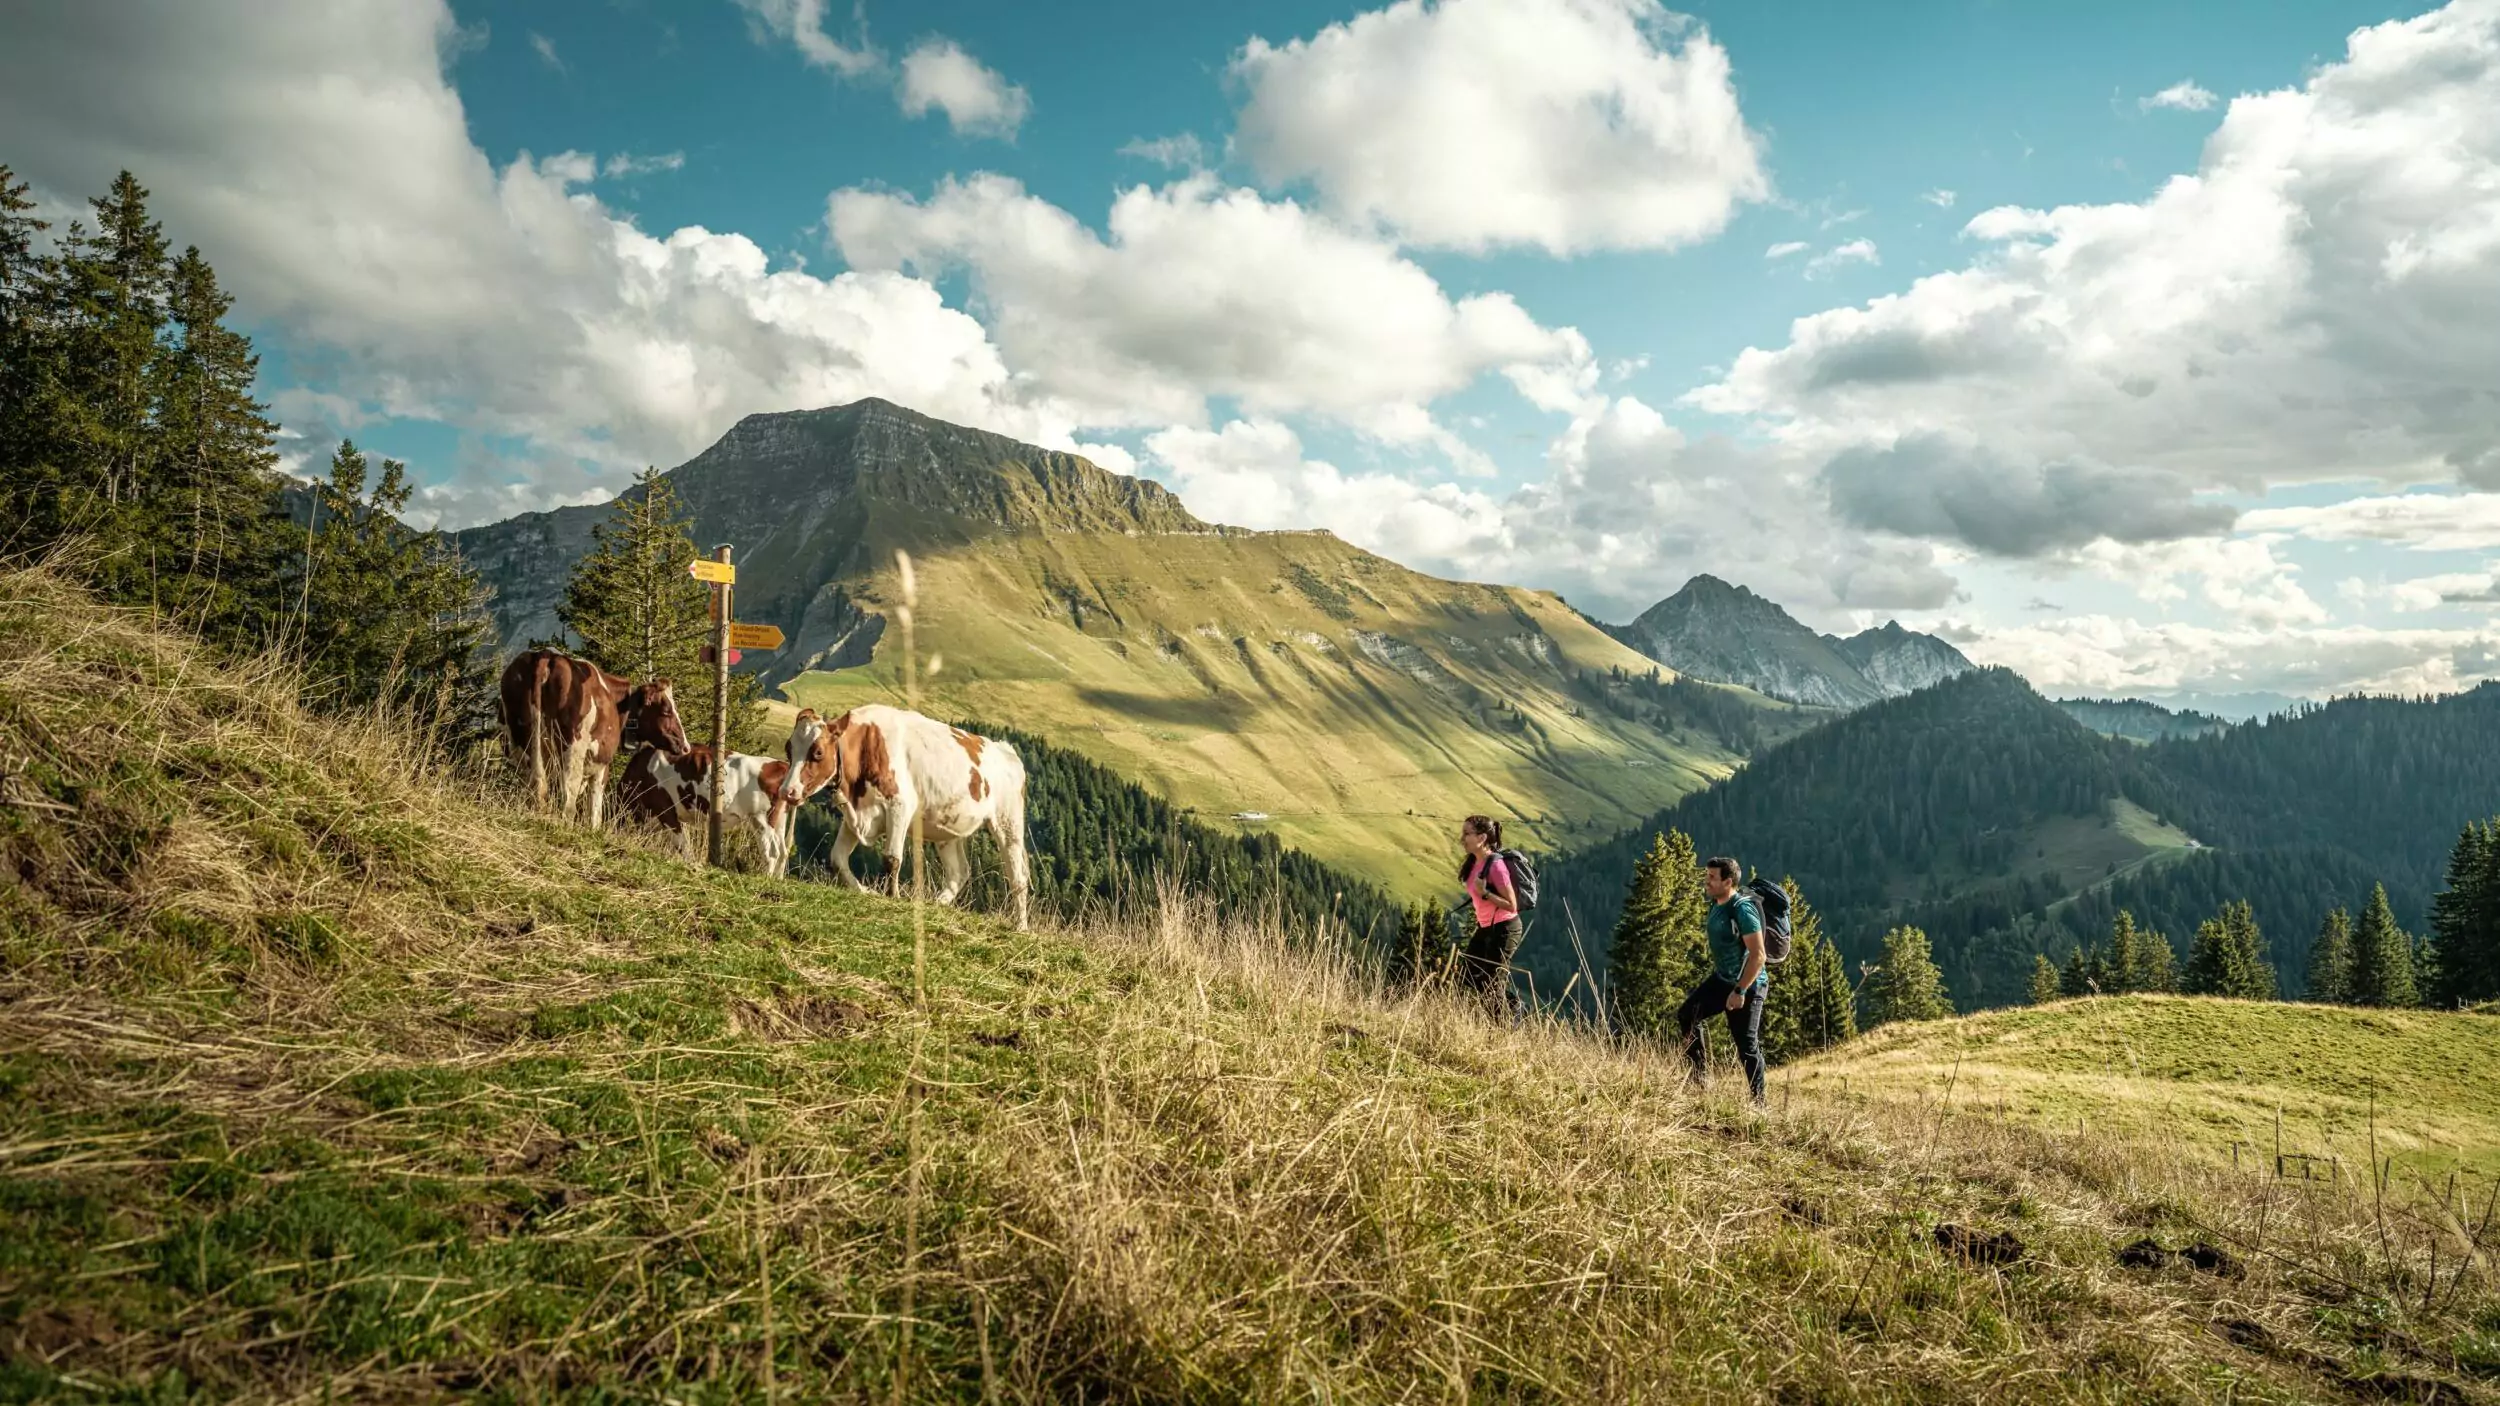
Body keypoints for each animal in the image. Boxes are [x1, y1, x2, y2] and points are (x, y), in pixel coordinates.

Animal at [492, 645, 690, 820]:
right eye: (667, 710)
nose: (685, 747)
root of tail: (546, 656)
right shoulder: (602, 767)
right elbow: (594, 812)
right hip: (573, 749)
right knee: (568, 798)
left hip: (521, 744)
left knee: (535, 787)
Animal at [620, 740, 795, 870]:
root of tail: (780, 764)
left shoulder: (665, 810)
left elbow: (682, 843)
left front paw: (691, 864)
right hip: (779, 820)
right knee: (783, 852)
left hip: (761, 818)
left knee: (771, 852)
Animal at [770, 705, 1025, 925]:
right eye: (789, 749)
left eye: (818, 752)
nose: (787, 792)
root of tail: (1005, 750)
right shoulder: (855, 815)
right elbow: (837, 858)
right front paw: (865, 891)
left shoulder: (899, 805)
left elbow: (892, 859)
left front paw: (892, 896)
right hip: (947, 829)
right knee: (959, 873)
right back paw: (937, 904)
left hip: (1008, 823)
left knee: (1018, 877)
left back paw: (1020, 926)